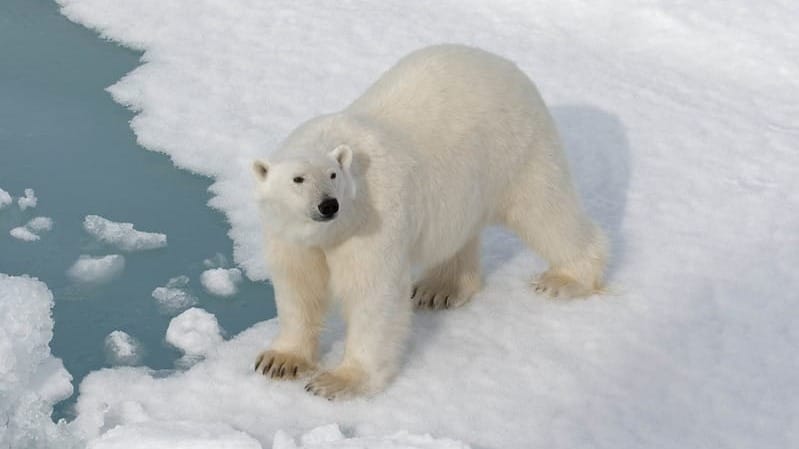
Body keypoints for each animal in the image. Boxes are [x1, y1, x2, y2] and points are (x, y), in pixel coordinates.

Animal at [251, 44, 608, 399]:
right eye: (298, 179)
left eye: (333, 175)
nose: (328, 205)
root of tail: (503, 62)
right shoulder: (289, 235)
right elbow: (298, 287)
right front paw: (279, 361)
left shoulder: (370, 221)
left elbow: (373, 294)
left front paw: (338, 381)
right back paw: (440, 289)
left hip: (518, 148)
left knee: (545, 212)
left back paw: (564, 278)